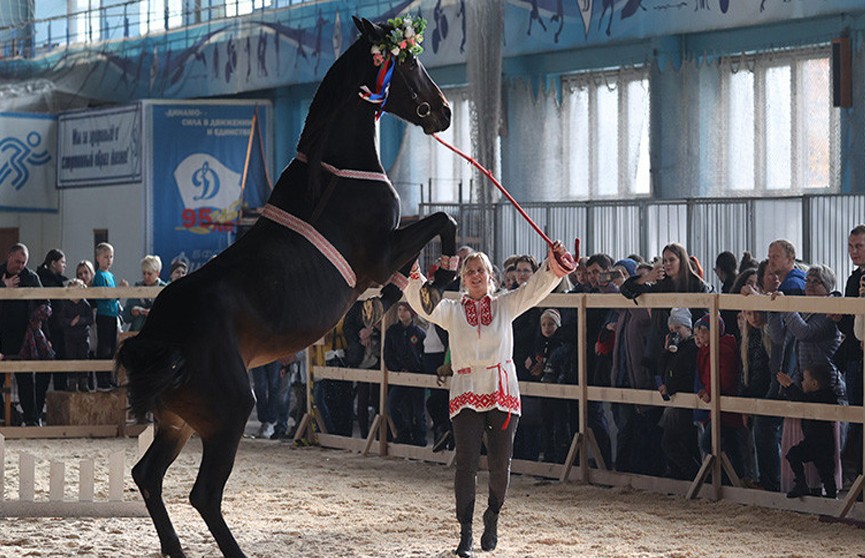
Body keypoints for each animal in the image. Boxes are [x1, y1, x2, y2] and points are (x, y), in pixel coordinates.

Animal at [120, 17, 460, 558]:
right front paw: (439, 281)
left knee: (148, 476)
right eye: (408, 61)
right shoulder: (380, 254)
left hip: (176, 420)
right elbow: (442, 222)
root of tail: (160, 335)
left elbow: (418, 254)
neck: (338, 168)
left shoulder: (385, 257)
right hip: (228, 414)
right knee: (203, 494)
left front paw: (395, 301)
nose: (445, 111)